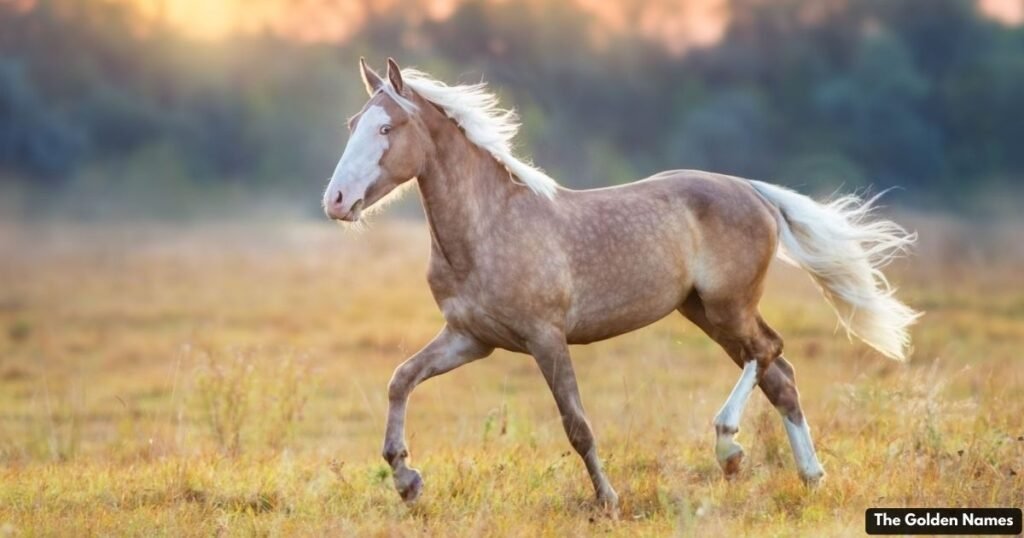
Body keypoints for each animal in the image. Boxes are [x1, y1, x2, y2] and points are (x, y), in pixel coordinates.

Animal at [322, 58, 920, 511]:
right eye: (351, 123)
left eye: (386, 129)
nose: (336, 201)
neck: (487, 226)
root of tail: (751, 190)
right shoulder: (471, 339)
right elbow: (401, 380)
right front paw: (406, 479)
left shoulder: (545, 338)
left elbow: (577, 424)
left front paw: (607, 500)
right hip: (703, 312)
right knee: (782, 377)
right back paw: (809, 477)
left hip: (728, 307)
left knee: (768, 352)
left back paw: (729, 447)